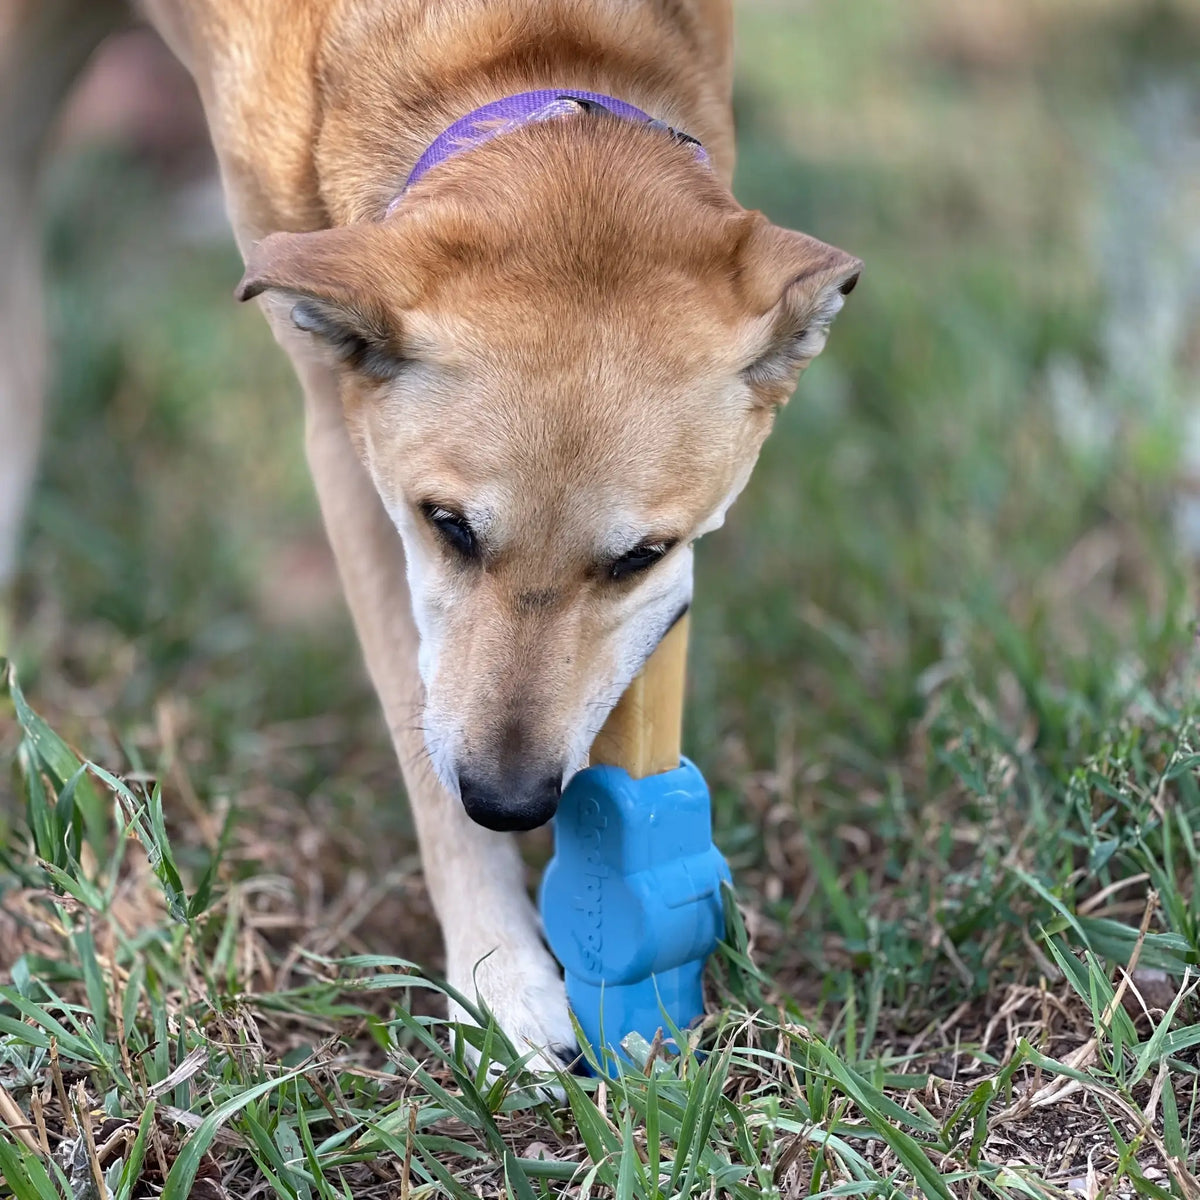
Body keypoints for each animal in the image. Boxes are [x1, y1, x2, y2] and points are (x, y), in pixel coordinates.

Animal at [2, 0, 864, 1070]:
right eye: (447, 526)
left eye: (640, 556)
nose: (511, 801)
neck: (526, 61)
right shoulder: (347, 446)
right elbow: (419, 723)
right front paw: (503, 980)